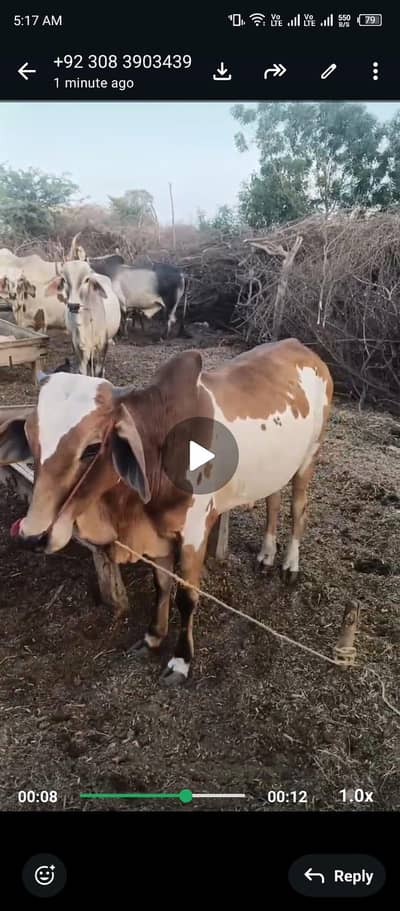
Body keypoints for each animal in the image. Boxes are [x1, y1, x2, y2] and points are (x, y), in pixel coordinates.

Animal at [0, 339, 333, 685]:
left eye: (92, 448)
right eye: (31, 439)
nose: (31, 535)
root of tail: (304, 349)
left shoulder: (194, 535)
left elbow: (186, 598)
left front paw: (180, 660)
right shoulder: (157, 536)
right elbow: (161, 586)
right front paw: (152, 637)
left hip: (308, 459)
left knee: (298, 507)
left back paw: (290, 564)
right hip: (277, 469)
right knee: (273, 500)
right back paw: (266, 556)